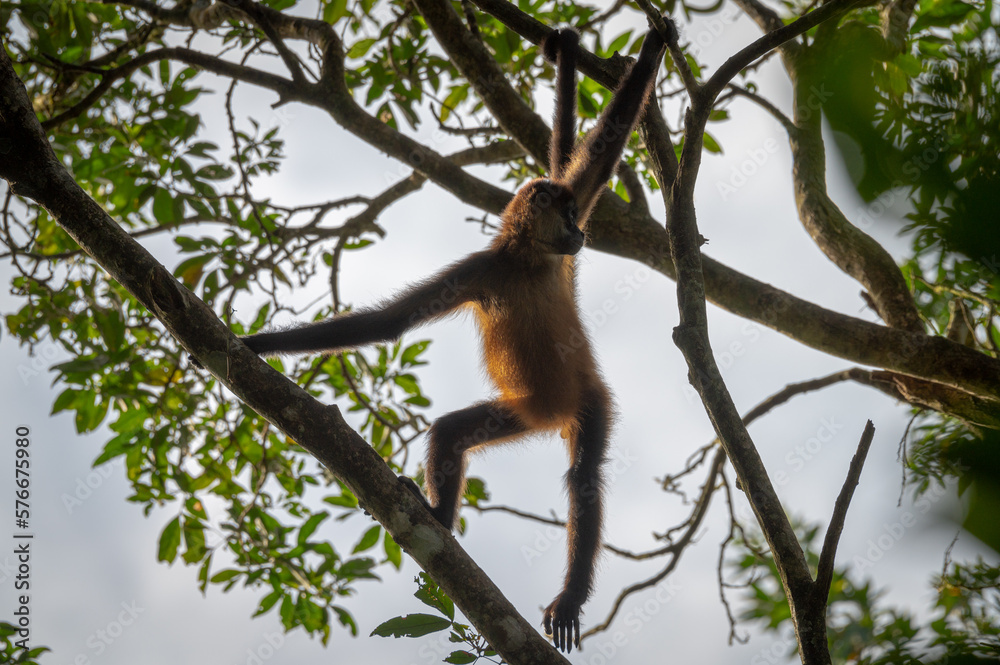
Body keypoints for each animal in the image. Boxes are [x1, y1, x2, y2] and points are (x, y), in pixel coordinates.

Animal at [204, 22, 668, 652]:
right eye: (568, 218)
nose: (580, 235)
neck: (527, 262)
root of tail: (553, 411)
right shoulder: (486, 268)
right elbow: (389, 324)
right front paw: (252, 346)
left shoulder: (552, 263)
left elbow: (601, 150)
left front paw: (657, 42)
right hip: (522, 409)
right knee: (451, 432)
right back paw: (440, 522)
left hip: (590, 399)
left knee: (584, 479)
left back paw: (567, 592)